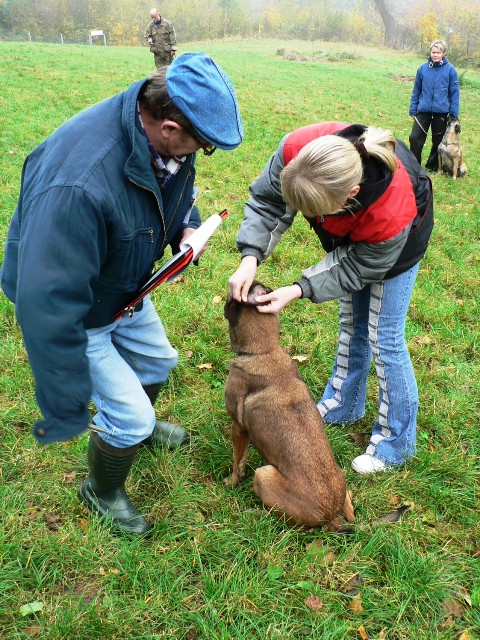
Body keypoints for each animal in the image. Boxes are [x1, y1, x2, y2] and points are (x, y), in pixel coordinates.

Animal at [223, 282, 354, 528]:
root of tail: (331, 514)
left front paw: (231, 481)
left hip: (263, 474)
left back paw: (255, 514)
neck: (264, 351)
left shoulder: (239, 428)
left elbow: (238, 462)